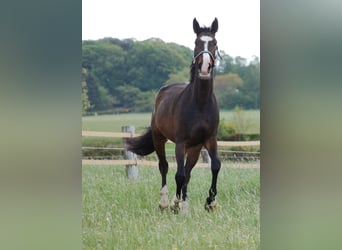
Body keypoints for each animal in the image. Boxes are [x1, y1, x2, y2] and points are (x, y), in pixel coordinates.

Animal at [125, 17, 222, 213]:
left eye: (214, 43)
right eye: (196, 42)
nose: (205, 67)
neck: (200, 104)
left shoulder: (209, 139)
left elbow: (215, 166)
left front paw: (210, 202)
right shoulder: (181, 142)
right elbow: (179, 174)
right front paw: (174, 203)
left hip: (194, 148)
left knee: (188, 171)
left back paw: (185, 204)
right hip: (159, 138)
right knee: (164, 167)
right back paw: (164, 203)